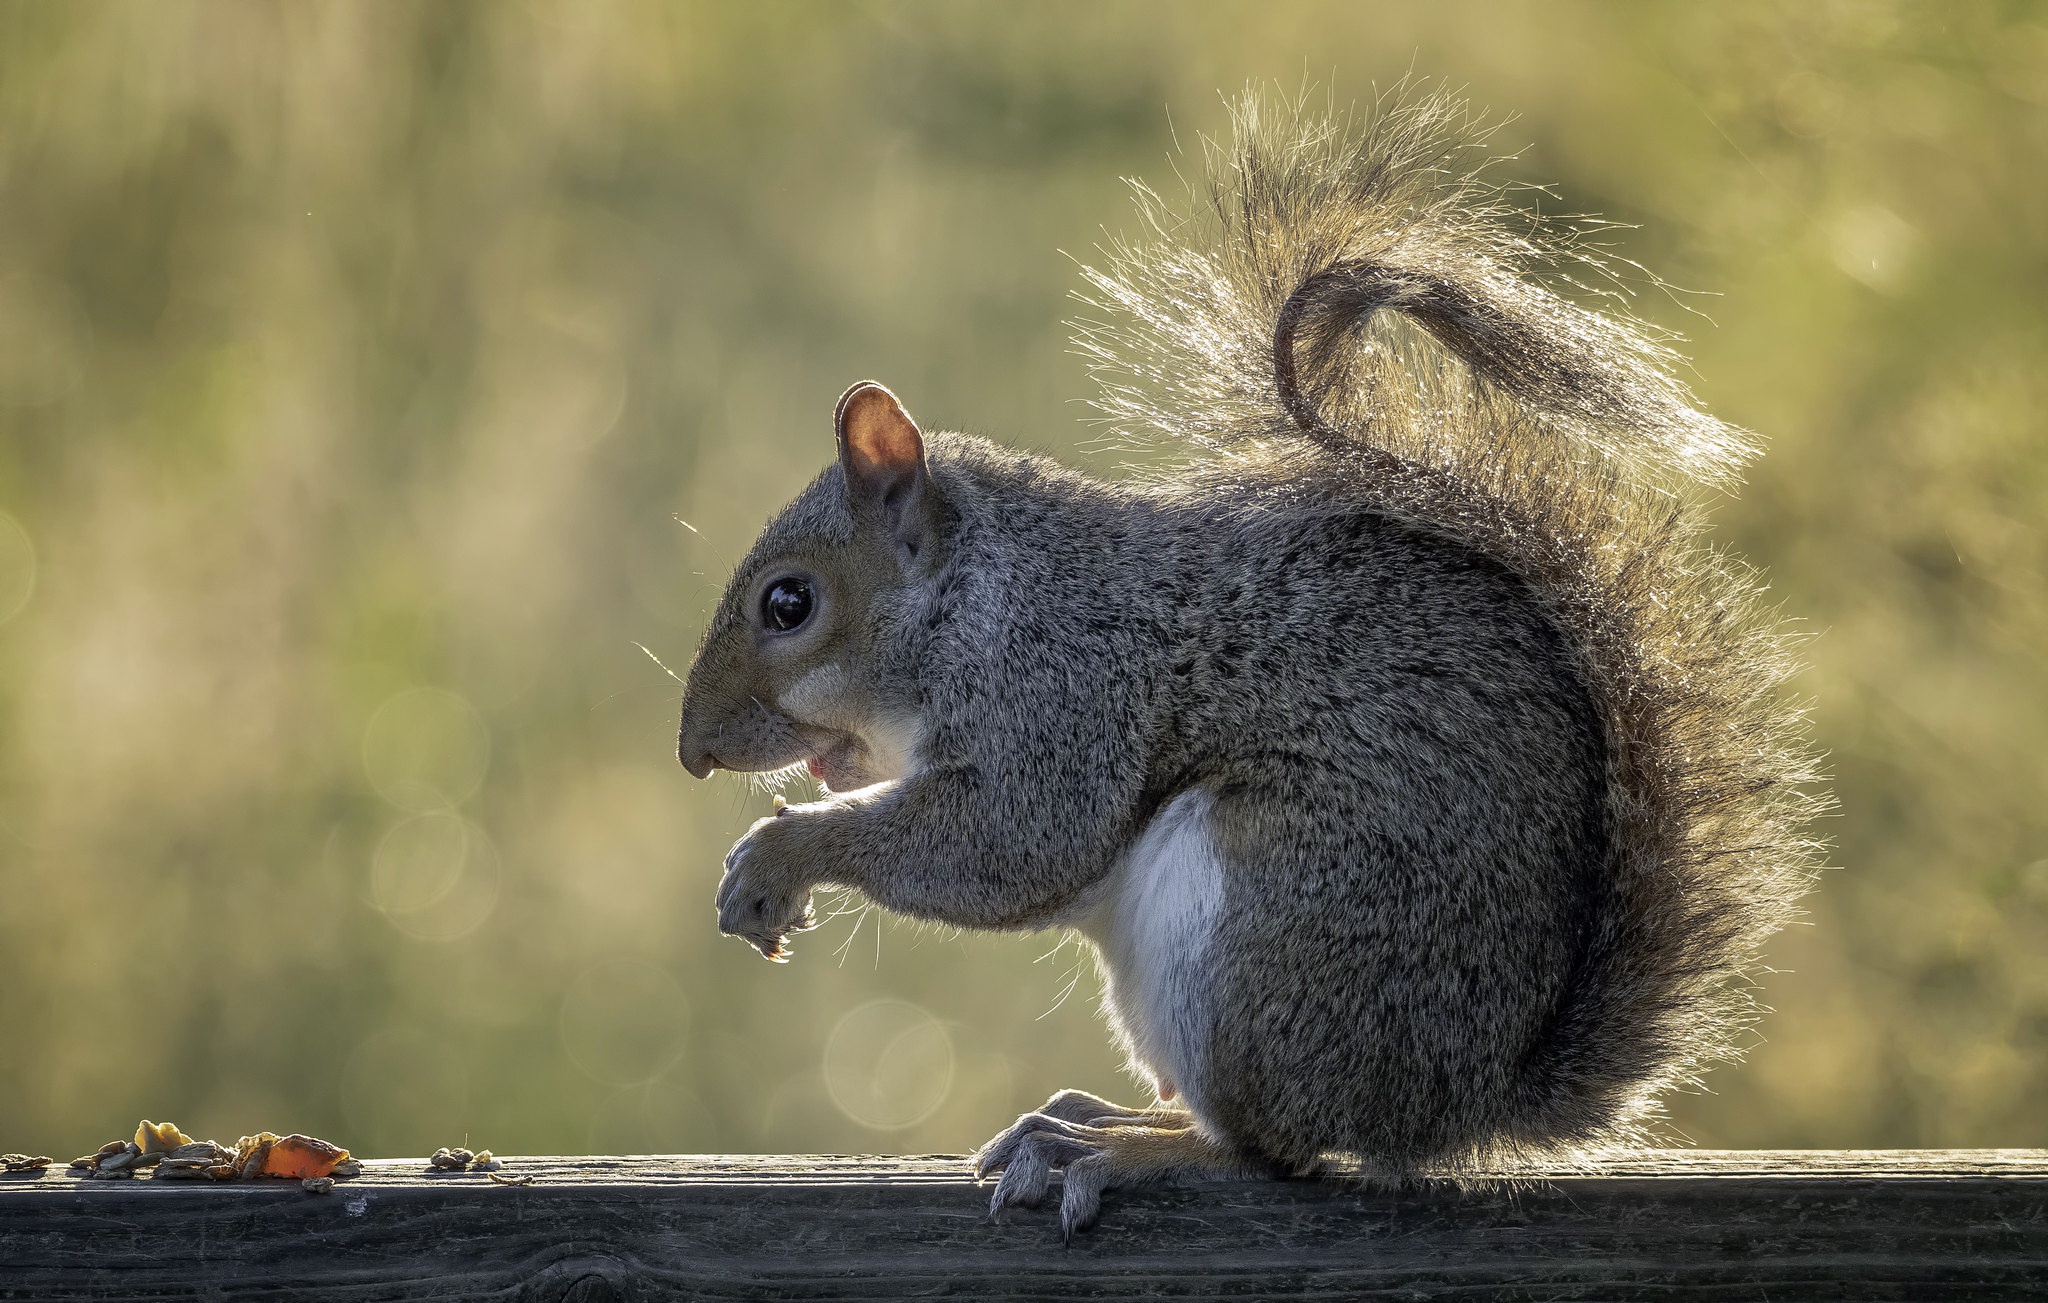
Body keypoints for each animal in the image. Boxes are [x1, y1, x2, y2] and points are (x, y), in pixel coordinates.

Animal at [675, 89, 1826, 1229]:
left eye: (789, 603)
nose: (693, 752)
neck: (980, 594)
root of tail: (1455, 1100)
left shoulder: (1065, 685)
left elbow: (1015, 838)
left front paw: (779, 856)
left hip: (1255, 932)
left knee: (1271, 1153)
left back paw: (1120, 1149)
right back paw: (1106, 1117)